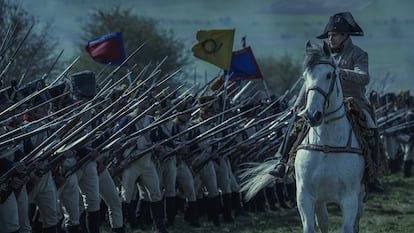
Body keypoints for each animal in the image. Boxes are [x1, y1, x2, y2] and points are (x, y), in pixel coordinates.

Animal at [294, 40, 366, 233]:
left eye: (328, 75)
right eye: (305, 76)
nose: (312, 115)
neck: (326, 145)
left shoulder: (350, 199)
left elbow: (349, 227)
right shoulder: (305, 196)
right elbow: (312, 226)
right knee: (324, 221)